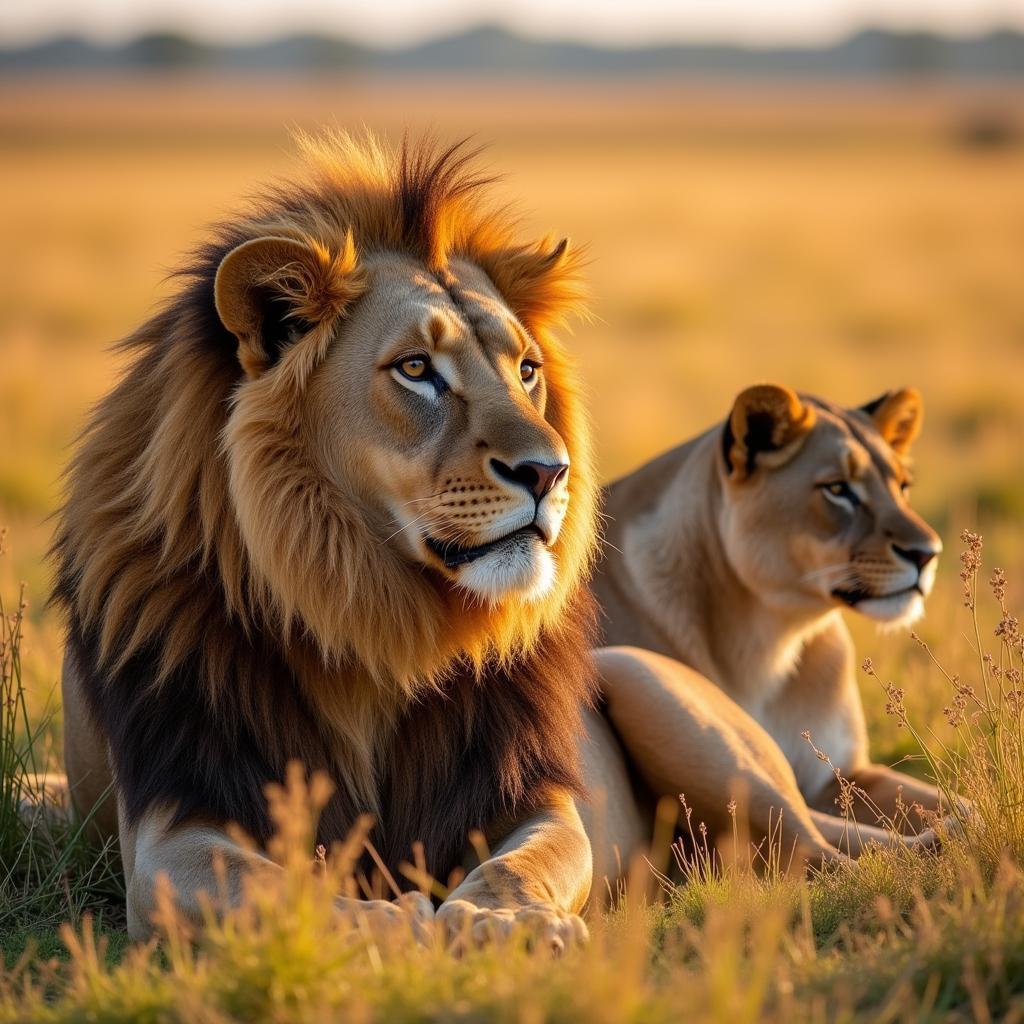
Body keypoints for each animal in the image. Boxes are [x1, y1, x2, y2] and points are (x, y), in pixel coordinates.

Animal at [49, 132, 606, 946]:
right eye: (416, 369)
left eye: (527, 370)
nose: (548, 471)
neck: (374, 618)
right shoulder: (174, 825)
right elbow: (272, 890)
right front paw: (394, 926)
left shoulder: (529, 794)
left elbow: (526, 862)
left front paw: (503, 921)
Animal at [589, 380, 954, 860]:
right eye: (837, 489)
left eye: (903, 486)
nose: (928, 553)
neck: (772, 638)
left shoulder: (841, 775)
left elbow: (950, 798)